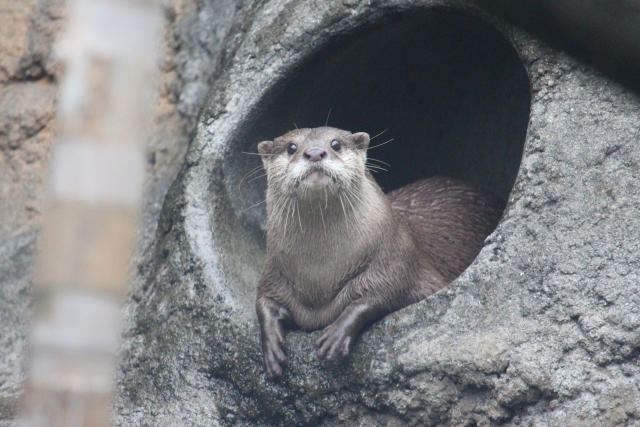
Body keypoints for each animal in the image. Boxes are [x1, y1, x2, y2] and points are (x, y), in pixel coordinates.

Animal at [255, 127, 504, 378]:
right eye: (291, 148)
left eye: (336, 144)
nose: (315, 152)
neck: (319, 277)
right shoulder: (273, 273)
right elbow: (262, 302)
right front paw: (271, 345)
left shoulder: (397, 259)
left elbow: (381, 294)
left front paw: (337, 334)